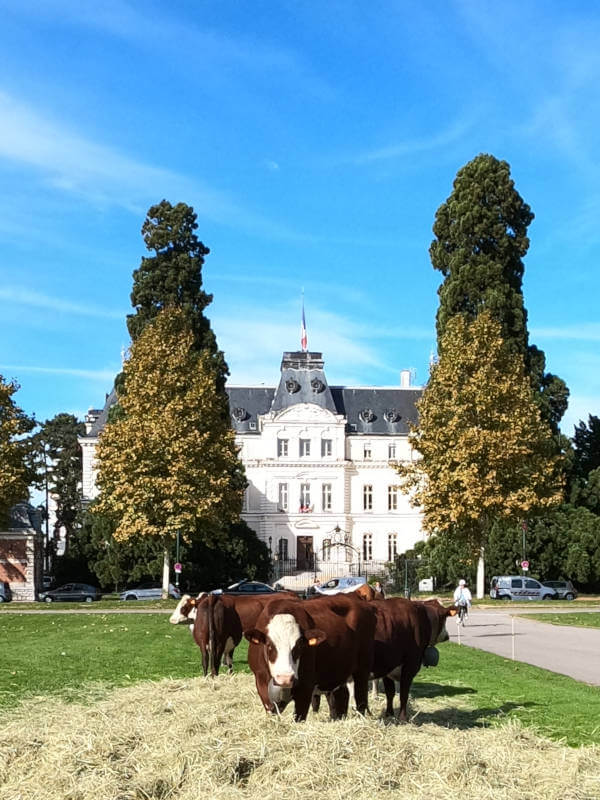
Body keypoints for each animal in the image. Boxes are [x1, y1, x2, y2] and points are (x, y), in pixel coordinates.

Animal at [244, 592, 376, 720]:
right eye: (269, 645)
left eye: (299, 646)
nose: (285, 678)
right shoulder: (261, 682)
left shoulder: (306, 686)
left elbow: (299, 717)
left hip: (362, 671)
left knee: (361, 698)